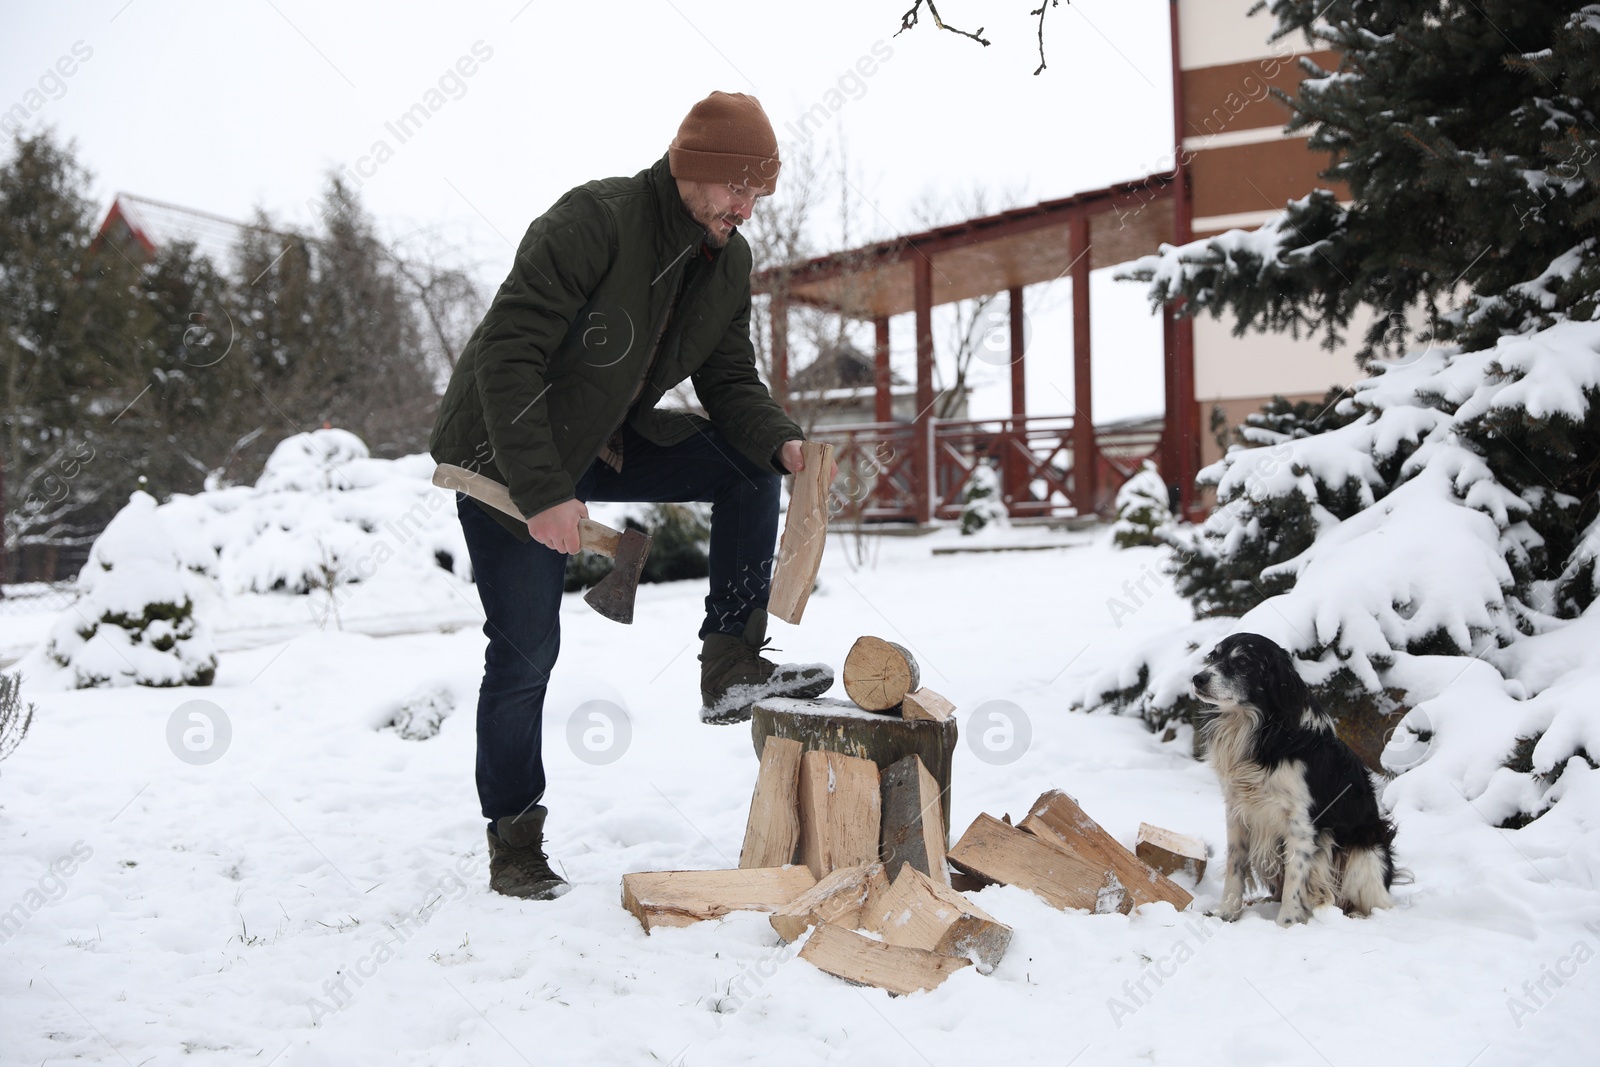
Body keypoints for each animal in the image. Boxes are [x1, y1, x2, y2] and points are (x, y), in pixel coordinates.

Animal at [1190, 633, 1401, 927]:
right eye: (1214, 656)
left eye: (1242, 662)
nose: (1198, 678)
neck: (1260, 729)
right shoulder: (1237, 813)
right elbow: (1236, 866)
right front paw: (1226, 913)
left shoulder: (1302, 824)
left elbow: (1295, 878)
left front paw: (1285, 924)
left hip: (1365, 853)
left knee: (1379, 904)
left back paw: (1356, 915)